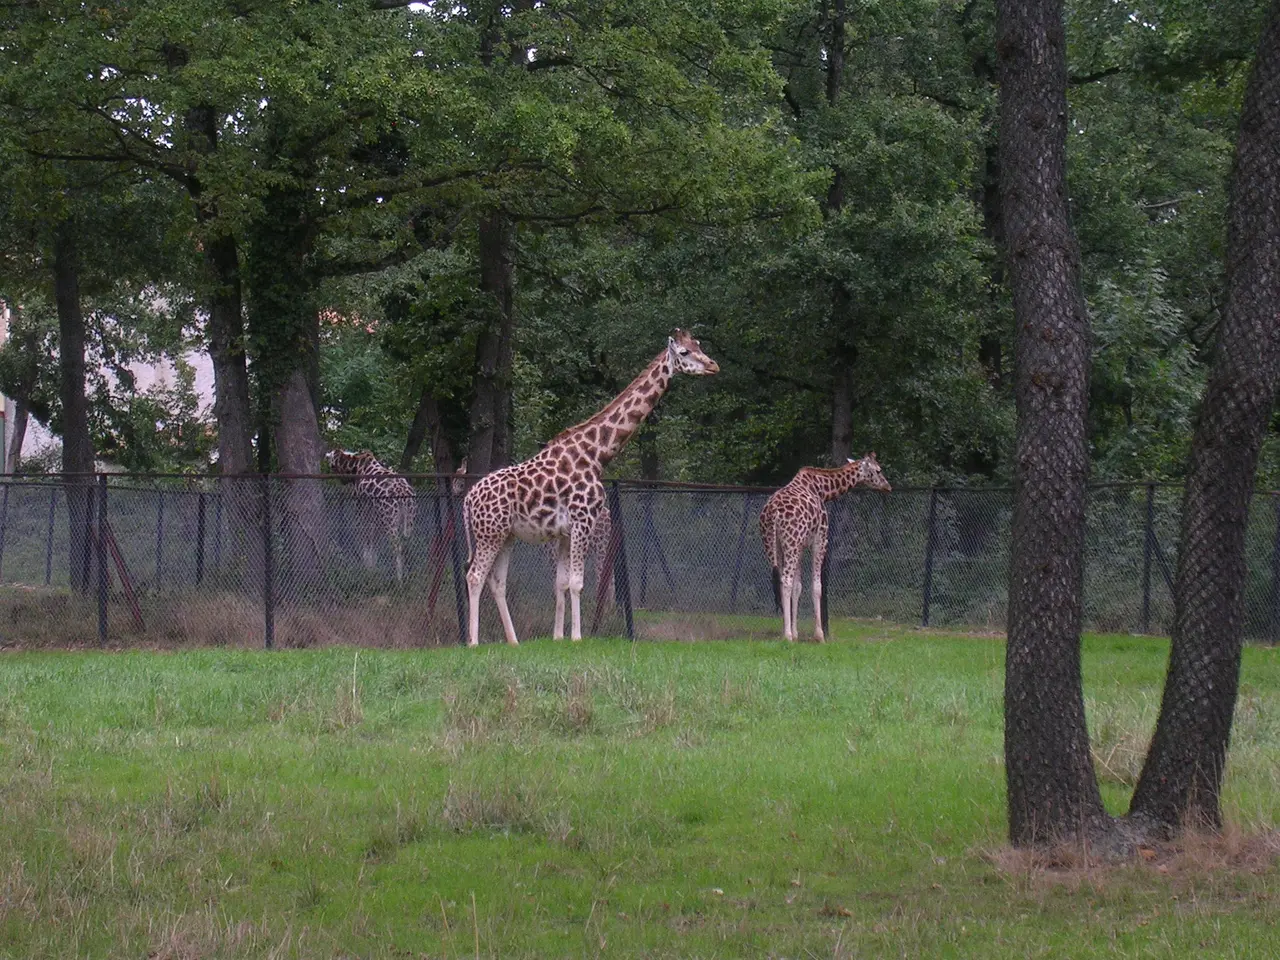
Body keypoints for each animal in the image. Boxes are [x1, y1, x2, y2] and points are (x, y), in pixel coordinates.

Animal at [325, 448, 417, 583]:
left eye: (331, 465)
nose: (342, 481)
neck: (356, 466)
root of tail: (403, 493)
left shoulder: (362, 510)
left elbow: (366, 541)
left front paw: (368, 571)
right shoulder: (375, 518)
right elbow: (374, 543)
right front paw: (373, 570)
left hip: (390, 519)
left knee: (397, 545)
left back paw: (399, 579)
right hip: (409, 518)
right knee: (409, 544)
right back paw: (409, 577)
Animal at [462, 329, 719, 645]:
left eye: (699, 345)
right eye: (684, 352)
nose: (713, 366)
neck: (597, 455)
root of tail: (468, 499)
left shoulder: (564, 532)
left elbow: (560, 583)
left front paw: (557, 637)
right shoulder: (583, 520)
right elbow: (577, 583)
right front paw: (576, 637)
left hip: (505, 535)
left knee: (497, 581)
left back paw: (513, 641)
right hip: (489, 534)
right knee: (474, 576)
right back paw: (472, 642)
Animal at [759, 453, 891, 642]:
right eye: (878, 470)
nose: (888, 487)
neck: (821, 489)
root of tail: (773, 512)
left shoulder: (800, 546)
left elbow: (798, 587)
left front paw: (796, 633)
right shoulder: (820, 540)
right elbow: (817, 586)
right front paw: (819, 635)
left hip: (773, 544)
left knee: (780, 581)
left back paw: (787, 633)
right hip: (790, 543)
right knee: (785, 580)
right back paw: (787, 636)